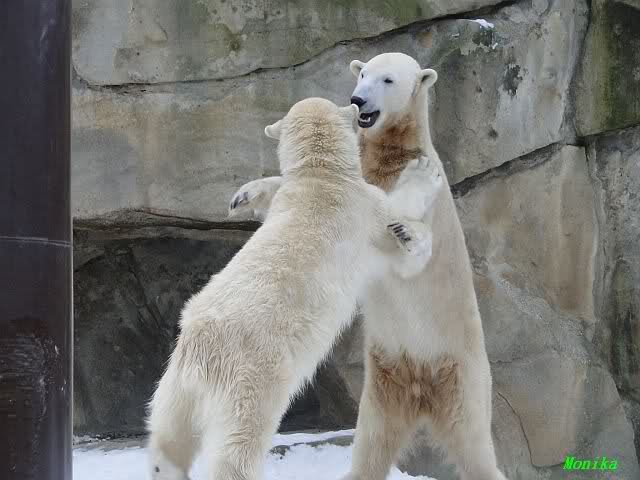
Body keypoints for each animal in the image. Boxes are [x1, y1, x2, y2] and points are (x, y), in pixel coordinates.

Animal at [147, 97, 444, 480]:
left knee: (168, 439)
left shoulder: (295, 195)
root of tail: (201, 352)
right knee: (237, 449)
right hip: (251, 379)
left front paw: (245, 196)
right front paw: (421, 179)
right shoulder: (362, 213)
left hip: (175, 385)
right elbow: (395, 216)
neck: (323, 175)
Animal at [228, 54, 507, 480]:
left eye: (387, 79)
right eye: (362, 73)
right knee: (372, 443)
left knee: (474, 446)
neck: (393, 155)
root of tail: (421, 391)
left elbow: (404, 249)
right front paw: (246, 194)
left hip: (463, 378)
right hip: (382, 382)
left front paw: (407, 232)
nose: (358, 100)